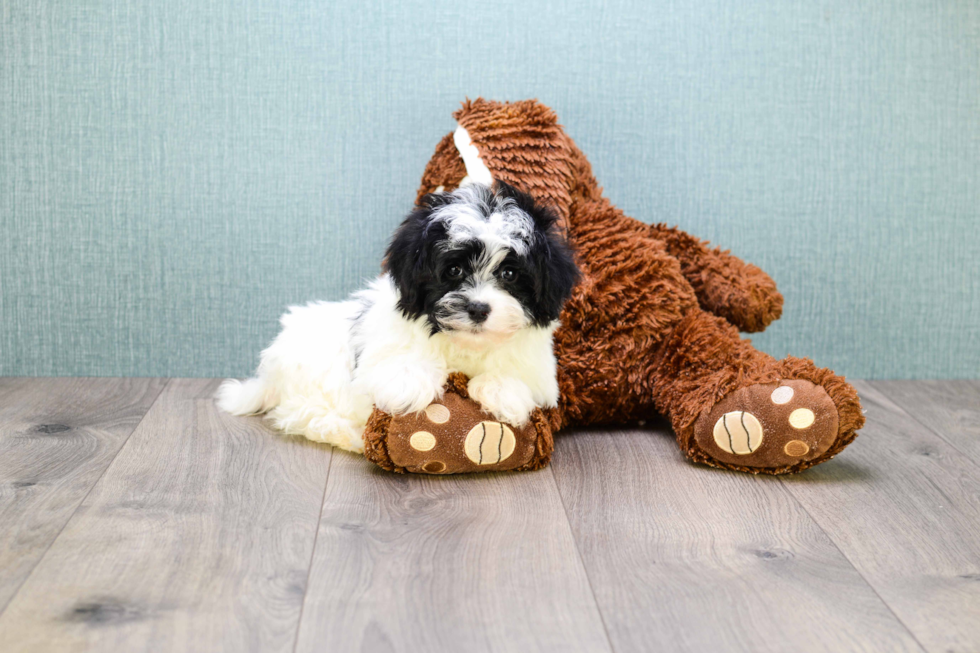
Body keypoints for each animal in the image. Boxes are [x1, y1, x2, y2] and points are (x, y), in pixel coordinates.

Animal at [218, 181, 580, 450]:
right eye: (453, 269)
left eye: (509, 274)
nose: (478, 308)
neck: (464, 347)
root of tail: (270, 374)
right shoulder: (375, 359)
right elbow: (396, 367)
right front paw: (411, 383)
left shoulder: (541, 373)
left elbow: (518, 377)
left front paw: (502, 391)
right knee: (302, 414)